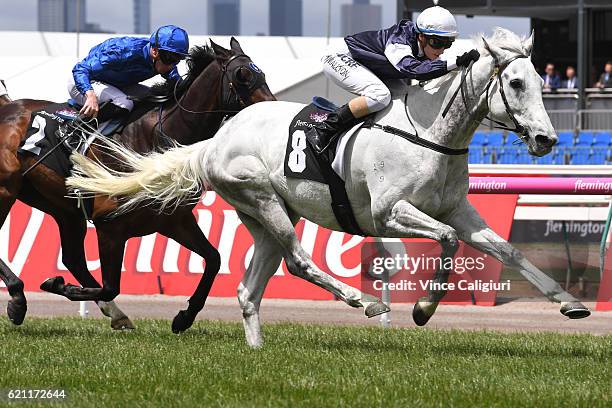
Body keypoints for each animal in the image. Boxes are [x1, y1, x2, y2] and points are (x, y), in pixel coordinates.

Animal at [0, 38, 274, 332]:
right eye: (242, 75)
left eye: (263, 75)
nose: (274, 110)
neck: (155, 139)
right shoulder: (110, 226)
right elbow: (111, 286)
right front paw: (56, 284)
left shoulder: (175, 221)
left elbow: (214, 259)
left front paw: (184, 317)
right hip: (6, 189)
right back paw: (18, 298)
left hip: (61, 207)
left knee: (73, 258)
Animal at [65, 29, 588, 348]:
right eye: (515, 83)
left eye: (539, 80)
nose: (547, 139)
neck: (429, 132)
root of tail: (216, 139)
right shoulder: (390, 212)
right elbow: (445, 241)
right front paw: (421, 309)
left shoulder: (459, 210)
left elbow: (507, 250)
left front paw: (570, 303)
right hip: (263, 199)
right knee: (298, 261)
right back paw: (364, 302)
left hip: (268, 213)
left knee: (249, 288)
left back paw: (257, 350)